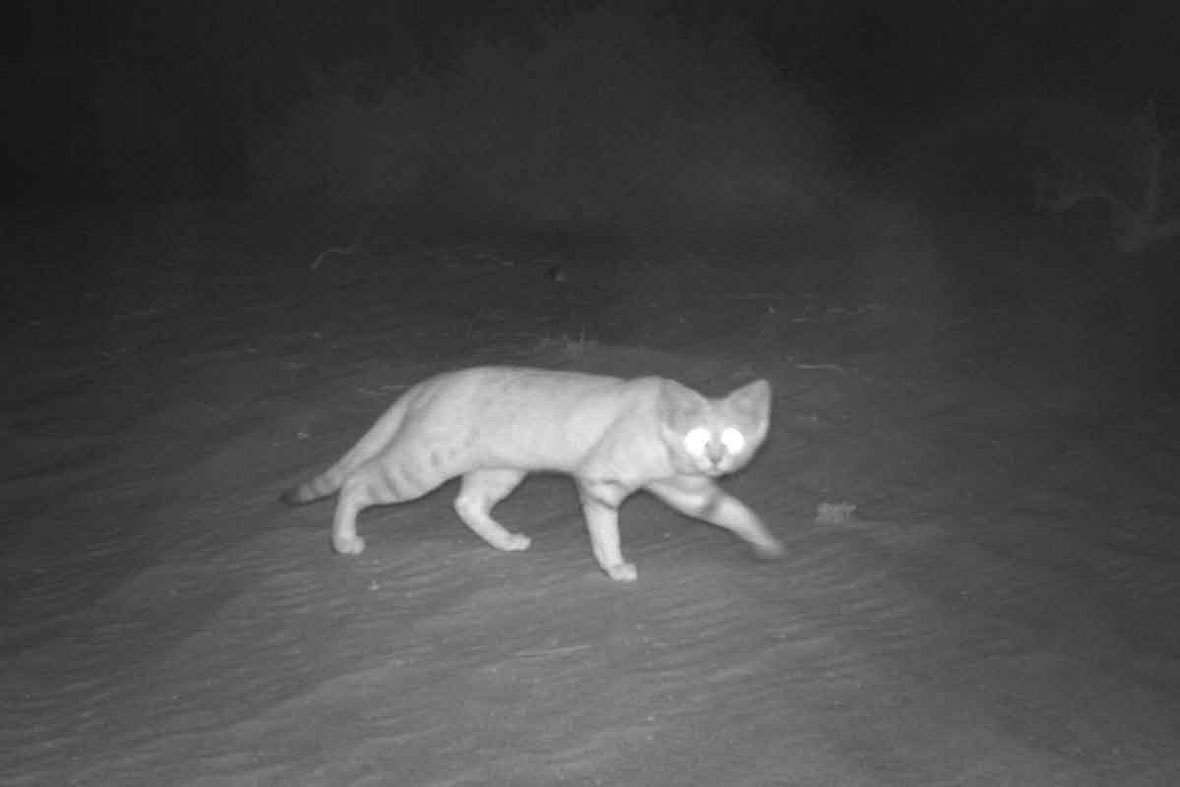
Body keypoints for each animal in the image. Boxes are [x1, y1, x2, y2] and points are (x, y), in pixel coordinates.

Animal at [282, 365, 783, 582]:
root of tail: (428, 384)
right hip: (418, 468)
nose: (716, 459)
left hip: (499, 469)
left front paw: (767, 544)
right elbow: (606, 533)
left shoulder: (687, 489)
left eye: (732, 437)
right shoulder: (599, 483)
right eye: (699, 437)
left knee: (467, 504)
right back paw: (344, 540)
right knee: (356, 482)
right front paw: (615, 567)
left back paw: (505, 542)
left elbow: (733, 511)